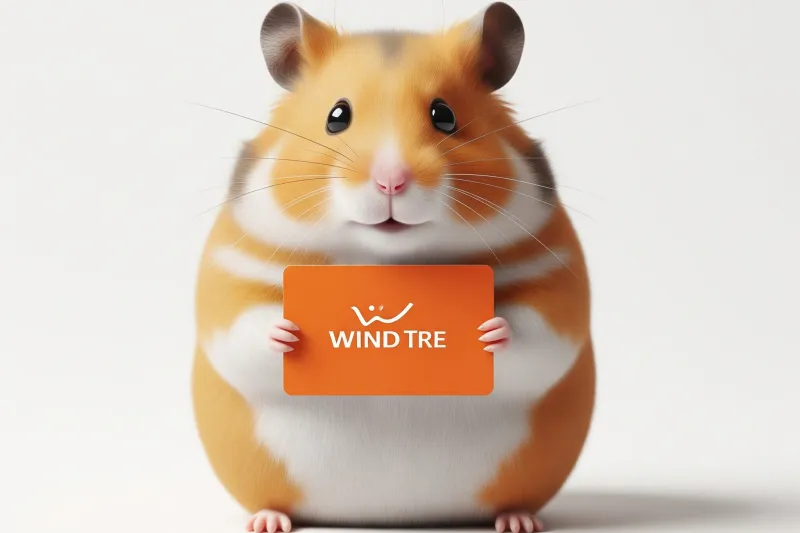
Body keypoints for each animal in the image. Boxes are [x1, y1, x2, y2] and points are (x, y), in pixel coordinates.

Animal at [191, 2, 595, 532]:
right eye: (336, 117)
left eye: (444, 116)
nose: (391, 182)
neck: (389, 259)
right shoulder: (228, 275)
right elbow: (245, 325)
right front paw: (288, 331)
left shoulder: (558, 277)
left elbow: (538, 328)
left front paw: (488, 330)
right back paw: (268, 521)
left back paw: (517, 521)